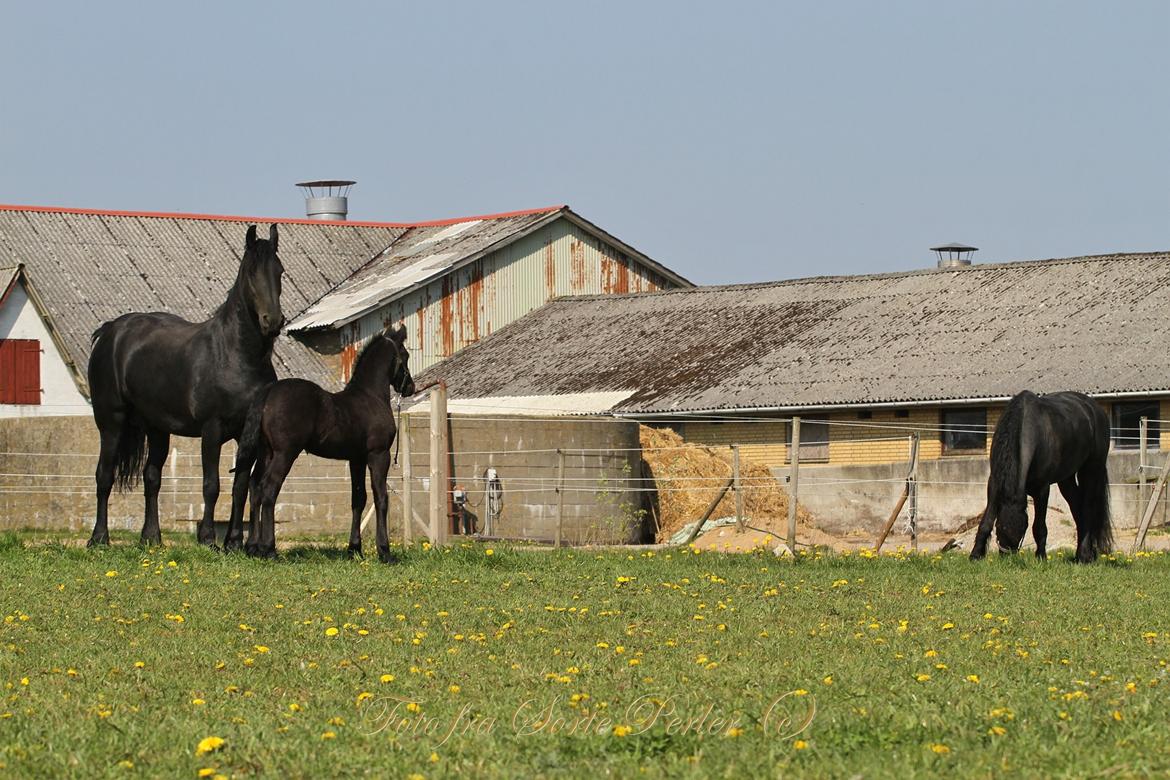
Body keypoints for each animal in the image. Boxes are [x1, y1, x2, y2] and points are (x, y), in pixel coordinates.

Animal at [85, 222, 283, 547]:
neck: (237, 356)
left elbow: (240, 487)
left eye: (279, 270)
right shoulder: (212, 430)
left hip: (157, 428)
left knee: (152, 477)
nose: (273, 321)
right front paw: (208, 539)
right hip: (111, 423)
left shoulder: (248, 435)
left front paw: (233, 542)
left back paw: (151, 538)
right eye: (252, 272)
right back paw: (99, 538)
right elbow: (211, 485)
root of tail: (110, 331)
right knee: (105, 476)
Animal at [225, 322, 414, 561]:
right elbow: (381, 498)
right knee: (269, 489)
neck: (370, 397)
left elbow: (358, 499)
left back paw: (253, 548)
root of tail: (269, 392)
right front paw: (385, 552)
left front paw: (354, 549)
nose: (410, 387)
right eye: (405, 355)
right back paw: (269, 549)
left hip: (266, 452)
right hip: (285, 453)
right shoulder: (378, 455)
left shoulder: (356, 459)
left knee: (255, 487)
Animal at [968, 392, 1113, 563]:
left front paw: (1041, 557)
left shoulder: (1042, 489)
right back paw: (1084, 554)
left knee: (1087, 507)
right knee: (1077, 507)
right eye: (999, 527)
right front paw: (975, 555)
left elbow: (1039, 527)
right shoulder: (994, 483)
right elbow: (986, 521)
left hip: (1092, 470)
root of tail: (1096, 409)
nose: (1006, 558)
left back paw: (1084, 556)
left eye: (1022, 530)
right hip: (1066, 479)